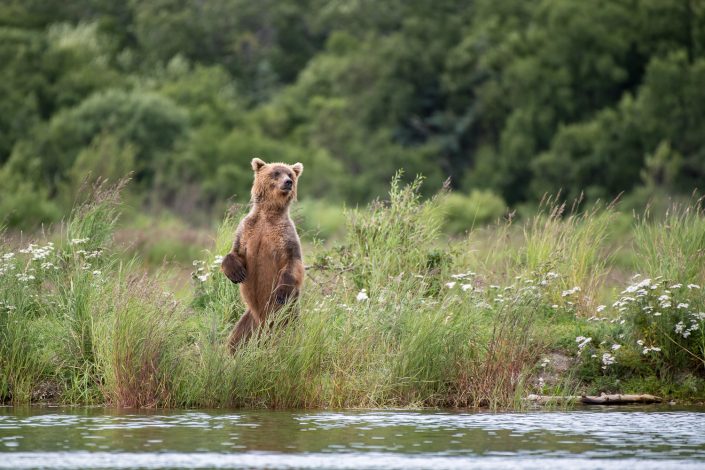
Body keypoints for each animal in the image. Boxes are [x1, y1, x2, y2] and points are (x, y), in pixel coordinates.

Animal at [221, 158, 304, 352]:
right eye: (276, 173)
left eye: (290, 174)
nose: (288, 182)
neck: (268, 214)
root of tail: (262, 321)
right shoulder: (247, 230)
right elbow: (235, 252)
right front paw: (236, 272)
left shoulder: (286, 236)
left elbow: (293, 263)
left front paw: (281, 292)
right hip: (250, 319)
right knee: (237, 338)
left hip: (285, 314)